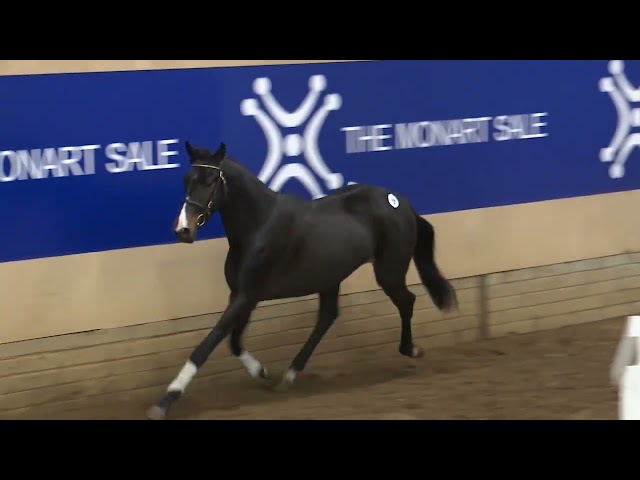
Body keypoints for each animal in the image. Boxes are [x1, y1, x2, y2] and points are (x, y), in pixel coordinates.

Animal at [146, 141, 458, 420]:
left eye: (210, 181)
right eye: (186, 179)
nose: (183, 230)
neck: (258, 226)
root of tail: (401, 203)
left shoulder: (245, 297)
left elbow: (206, 346)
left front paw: (165, 402)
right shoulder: (243, 296)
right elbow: (233, 342)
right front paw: (261, 372)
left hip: (388, 272)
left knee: (407, 300)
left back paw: (411, 349)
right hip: (331, 278)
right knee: (327, 317)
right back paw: (289, 375)